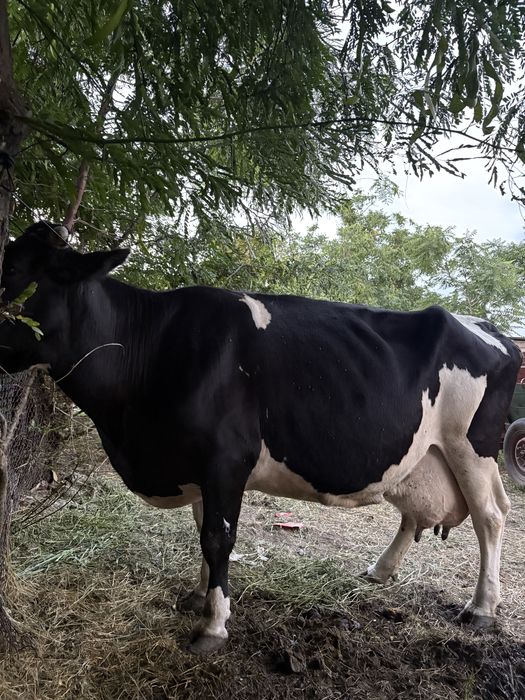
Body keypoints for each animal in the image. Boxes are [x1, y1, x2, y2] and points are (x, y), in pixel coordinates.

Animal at [0, 221, 520, 654]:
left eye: (15, 272)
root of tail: (488, 328)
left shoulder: (226, 458)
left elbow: (217, 537)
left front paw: (213, 626)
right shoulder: (201, 467)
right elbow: (202, 529)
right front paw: (197, 597)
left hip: (471, 447)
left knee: (491, 515)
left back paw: (481, 609)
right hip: (423, 456)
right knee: (416, 514)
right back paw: (380, 571)